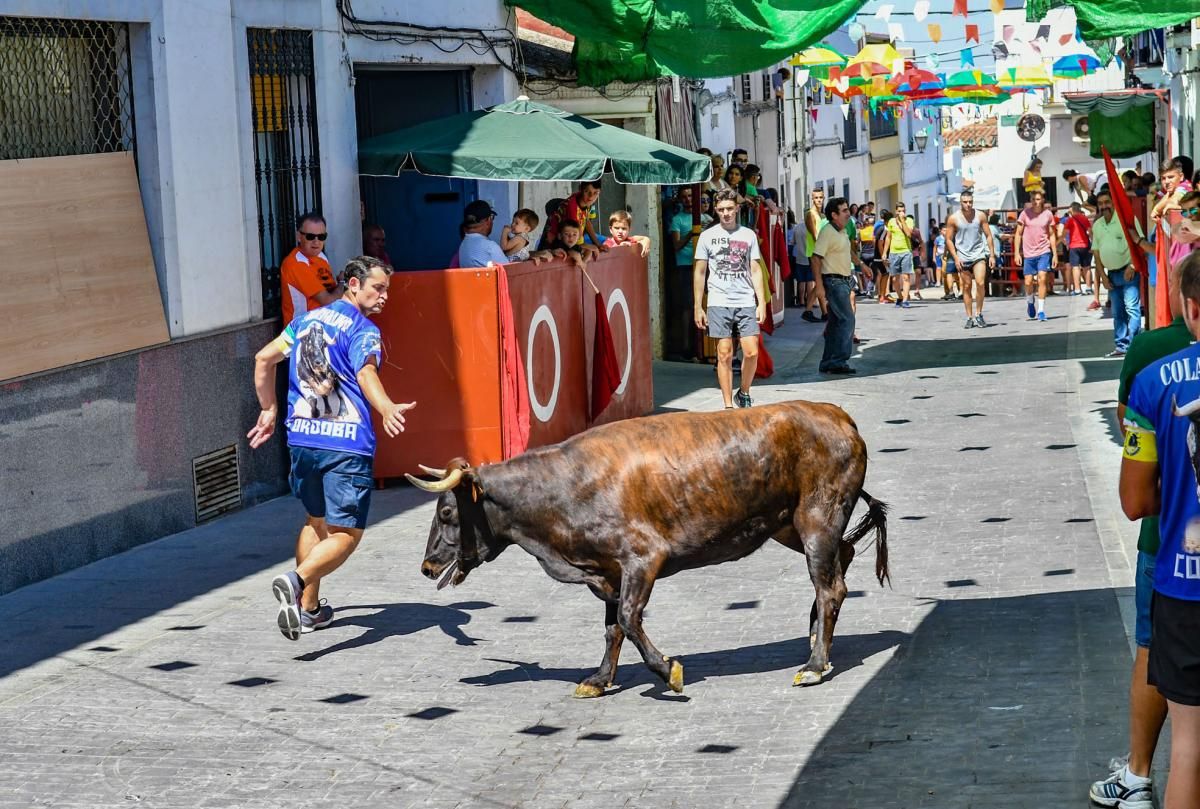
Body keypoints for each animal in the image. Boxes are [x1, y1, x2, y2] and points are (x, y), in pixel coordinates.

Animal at [408, 400, 888, 696]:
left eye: (447, 512)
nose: (428, 566)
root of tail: (837, 415)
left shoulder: (642, 558)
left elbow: (627, 618)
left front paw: (668, 670)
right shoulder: (608, 571)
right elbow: (611, 627)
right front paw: (599, 679)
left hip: (817, 520)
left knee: (830, 587)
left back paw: (814, 665)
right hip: (789, 525)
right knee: (840, 564)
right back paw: (815, 641)